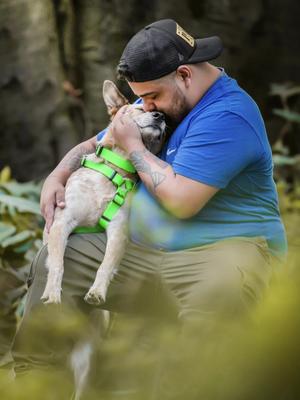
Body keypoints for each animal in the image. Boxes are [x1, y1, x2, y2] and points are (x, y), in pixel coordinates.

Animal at [41, 81, 165, 306]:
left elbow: (106, 265)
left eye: (161, 113)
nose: (161, 116)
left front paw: (97, 291)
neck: (114, 169)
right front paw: (53, 294)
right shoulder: (61, 222)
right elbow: (57, 264)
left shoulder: (118, 231)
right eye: (141, 108)